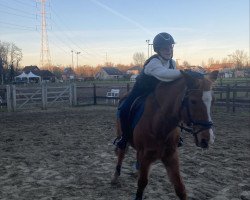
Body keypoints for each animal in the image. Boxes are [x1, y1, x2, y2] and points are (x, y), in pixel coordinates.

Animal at [111, 69, 219, 199]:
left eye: (213, 101)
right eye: (193, 101)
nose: (207, 139)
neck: (159, 123)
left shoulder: (171, 156)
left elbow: (180, 188)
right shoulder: (146, 156)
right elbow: (141, 184)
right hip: (123, 137)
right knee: (121, 154)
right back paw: (115, 177)